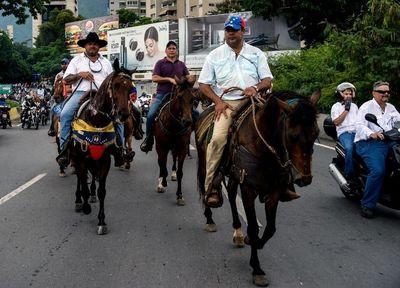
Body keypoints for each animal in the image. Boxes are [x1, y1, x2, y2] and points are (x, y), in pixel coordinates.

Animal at [153, 74, 195, 205]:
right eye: (180, 97)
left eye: (193, 98)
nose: (187, 121)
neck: (174, 125)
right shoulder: (162, 147)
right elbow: (162, 165)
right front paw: (163, 183)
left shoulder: (182, 148)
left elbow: (180, 172)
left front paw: (180, 195)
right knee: (161, 163)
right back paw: (161, 182)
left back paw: (173, 174)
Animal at [195, 89, 320, 286]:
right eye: (292, 135)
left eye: (316, 133)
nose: (304, 178)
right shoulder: (248, 189)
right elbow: (254, 228)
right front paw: (257, 268)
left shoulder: (274, 190)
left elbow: (270, 228)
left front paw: (255, 242)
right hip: (204, 161)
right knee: (205, 183)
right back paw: (210, 217)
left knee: (231, 194)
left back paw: (238, 233)